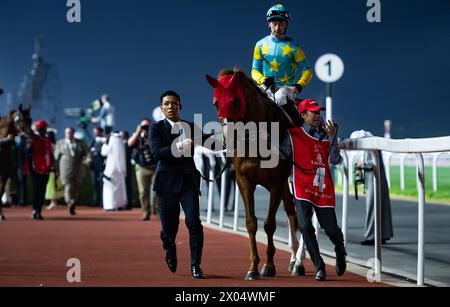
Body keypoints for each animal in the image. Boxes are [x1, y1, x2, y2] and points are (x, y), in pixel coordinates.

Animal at [206, 70, 304, 282]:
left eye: (234, 101)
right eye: (215, 101)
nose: (228, 138)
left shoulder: (277, 182)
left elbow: (270, 224)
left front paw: (269, 266)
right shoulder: (244, 181)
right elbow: (251, 223)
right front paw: (252, 268)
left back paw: (298, 262)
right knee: (291, 210)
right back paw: (293, 259)